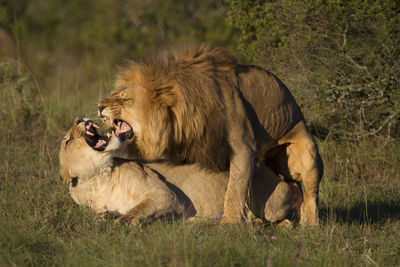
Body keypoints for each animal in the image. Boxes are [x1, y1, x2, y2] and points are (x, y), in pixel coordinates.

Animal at [59, 118, 302, 225]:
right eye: (67, 140)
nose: (80, 118)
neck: (98, 179)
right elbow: (98, 214)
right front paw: (105, 218)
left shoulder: (165, 195)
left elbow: (135, 212)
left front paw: (119, 223)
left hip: (270, 202)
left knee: (294, 191)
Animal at [98, 44, 324, 226]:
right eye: (112, 94)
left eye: (125, 99)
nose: (100, 107)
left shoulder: (243, 146)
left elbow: (235, 188)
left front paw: (229, 224)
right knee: (293, 187)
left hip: (306, 154)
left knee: (310, 195)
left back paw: (309, 227)